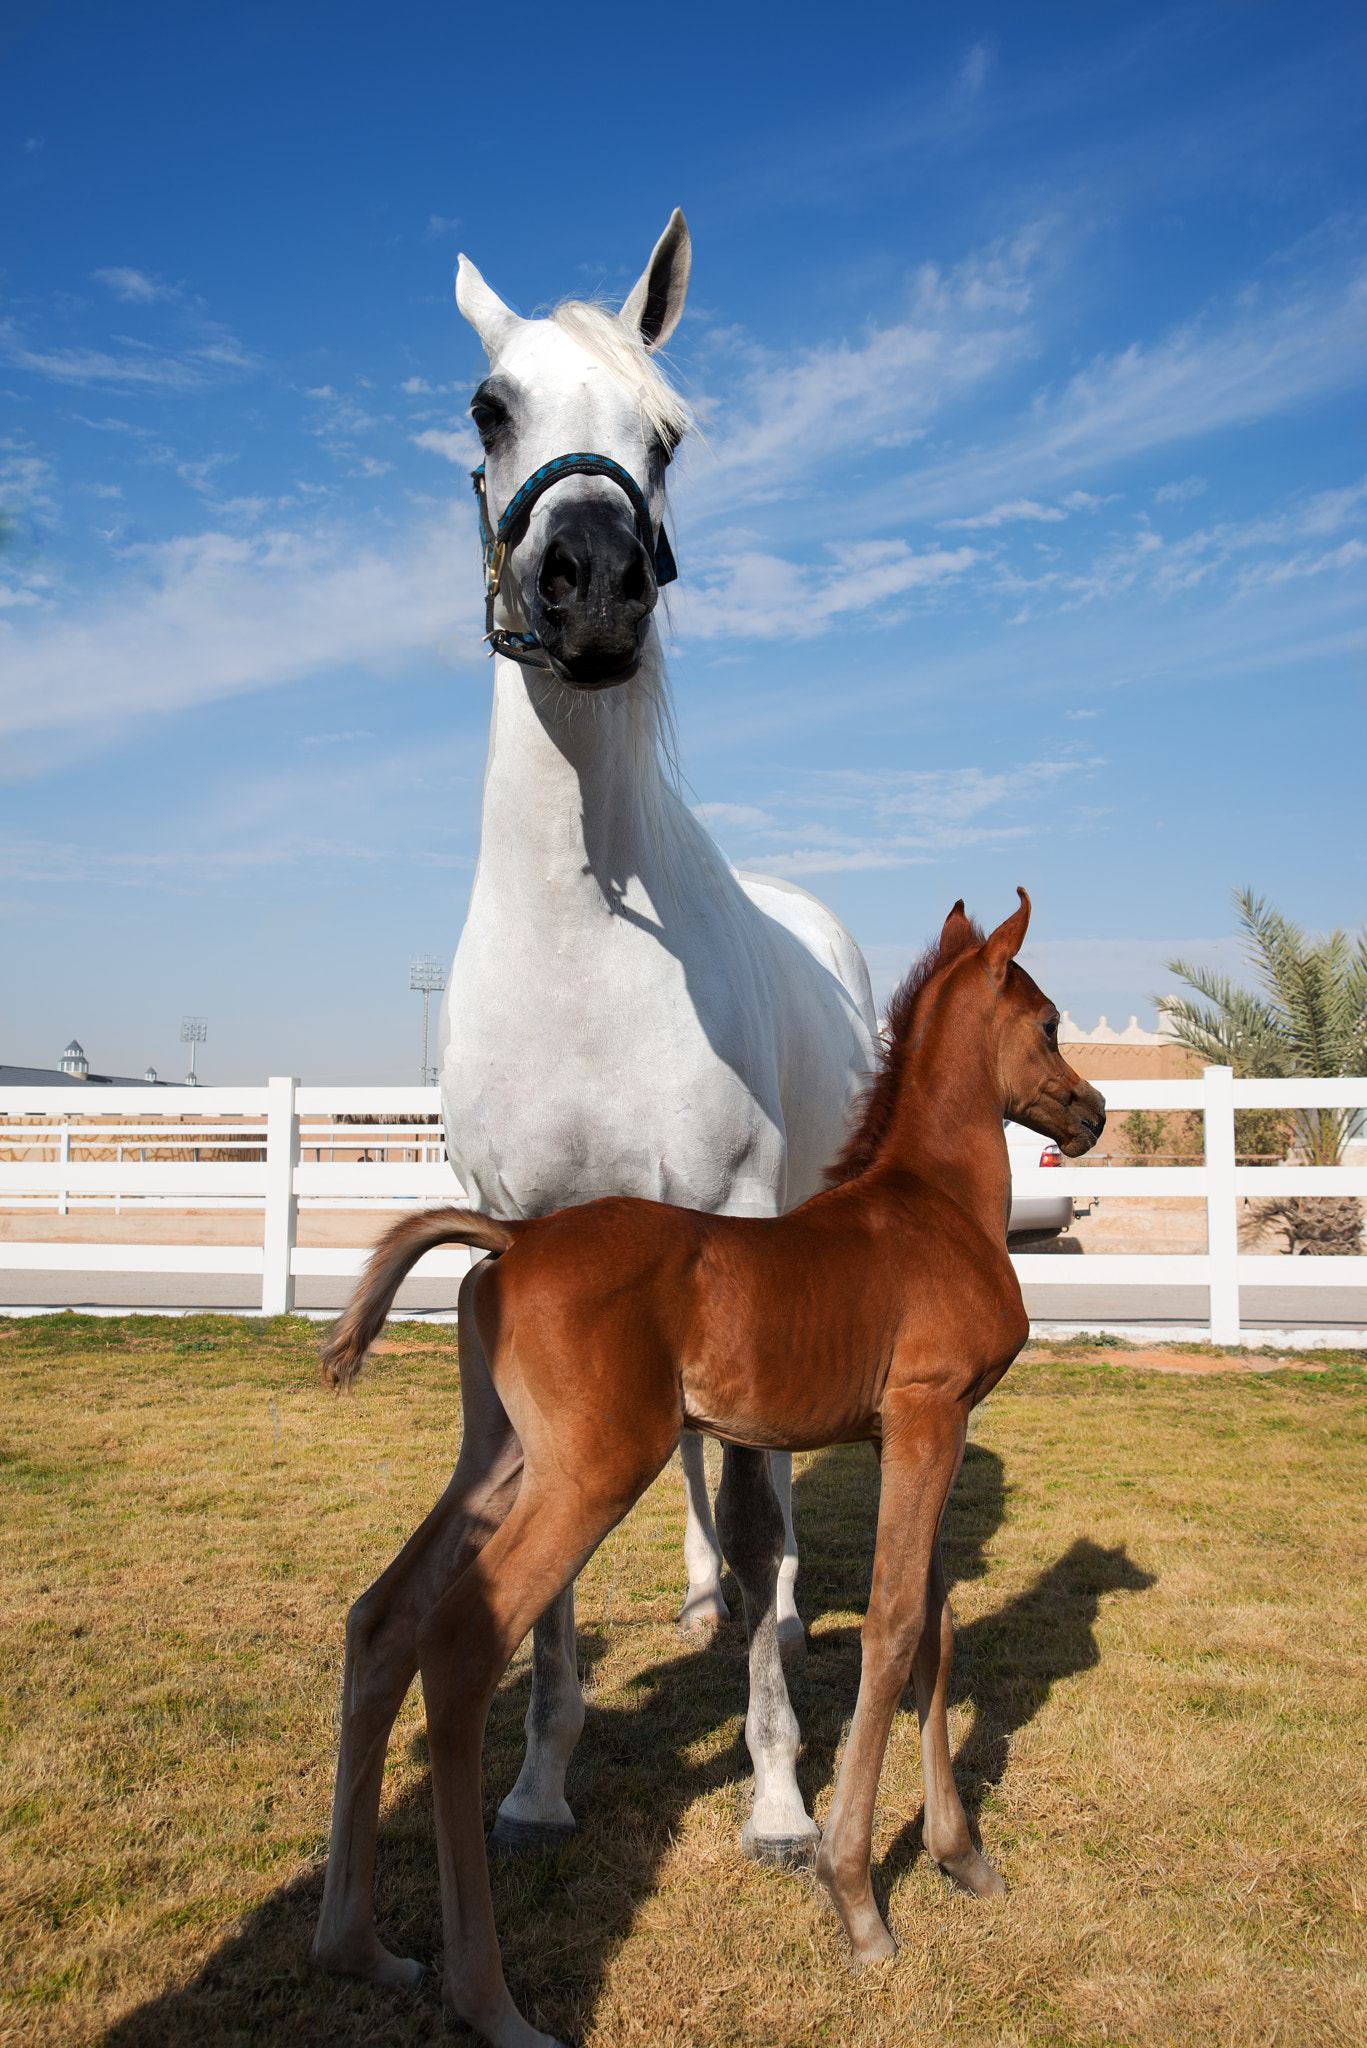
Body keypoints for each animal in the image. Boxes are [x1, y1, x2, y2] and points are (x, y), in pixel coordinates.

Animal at [313, 216, 877, 1990]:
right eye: (487, 406)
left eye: (670, 432)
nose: (592, 585)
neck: (584, 941)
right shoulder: (537, 1242)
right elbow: (553, 1574)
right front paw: (537, 1788)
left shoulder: (733, 1222)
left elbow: (762, 1513)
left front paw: (774, 1803)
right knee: (697, 1456)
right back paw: (698, 1606)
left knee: (757, 1488)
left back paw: (761, 1622)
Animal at [315, 897, 1106, 2048]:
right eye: (1046, 1023)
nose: (1092, 1111)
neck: (932, 1205)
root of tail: (510, 1236)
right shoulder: (928, 1415)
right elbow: (892, 1628)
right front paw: (856, 1900)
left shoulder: (909, 1433)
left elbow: (935, 1630)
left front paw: (961, 1856)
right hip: (592, 1468)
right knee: (458, 1639)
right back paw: (491, 2000)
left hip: (499, 1457)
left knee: (381, 1617)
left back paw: (358, 1946)